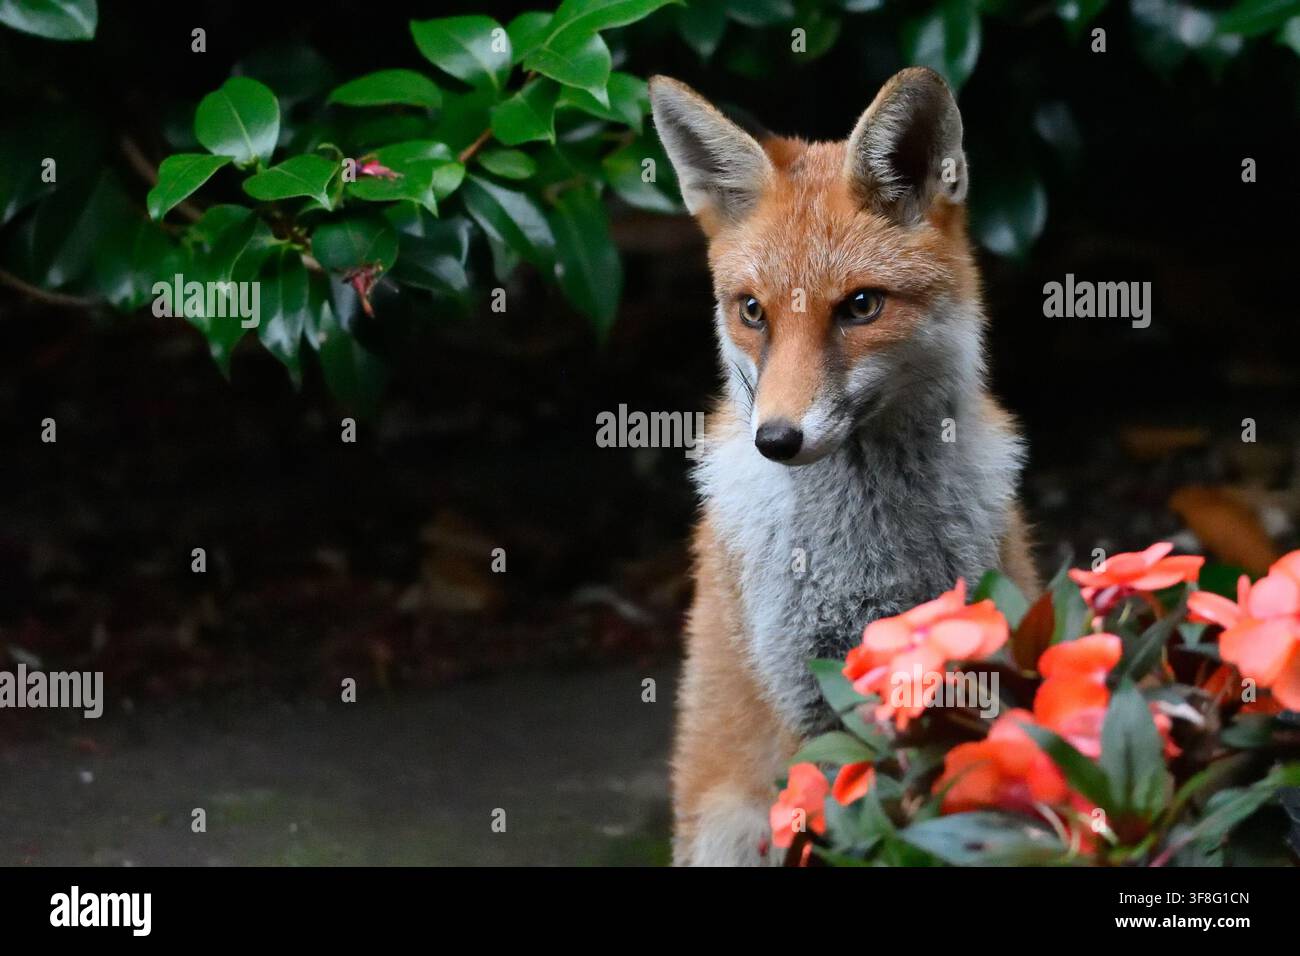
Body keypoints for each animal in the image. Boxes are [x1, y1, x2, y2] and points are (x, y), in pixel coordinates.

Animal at [646, 67, 1040, 866]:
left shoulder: (971, 675)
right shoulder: (808, 697)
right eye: (753, 311)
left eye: (860, 306)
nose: (776, 439)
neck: (867, 556)